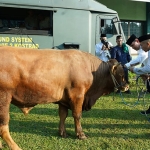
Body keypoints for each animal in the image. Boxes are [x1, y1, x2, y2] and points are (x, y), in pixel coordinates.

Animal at [0, 46, 129, 149]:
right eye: (121, 74)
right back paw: (15, 147)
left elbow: (63, 115)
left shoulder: (63, 100)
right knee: (3, 127)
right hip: (4, 99)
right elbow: (77, 115)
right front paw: (80, 134)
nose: (127, 86)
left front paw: (62, 133)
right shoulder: (77, 95)